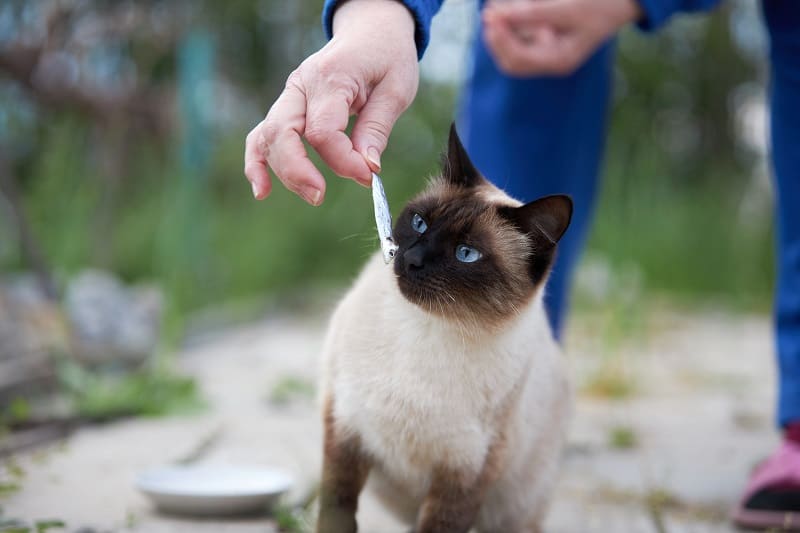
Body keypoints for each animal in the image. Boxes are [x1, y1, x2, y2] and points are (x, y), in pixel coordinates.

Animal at [316, 125, 572, 532]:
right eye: (420, 222)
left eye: (466, 254)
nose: (411, 258)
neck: (425, 329)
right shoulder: (345, 428)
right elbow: (335, 510)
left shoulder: (464, 471)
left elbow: (441, 524)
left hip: (513, 510)